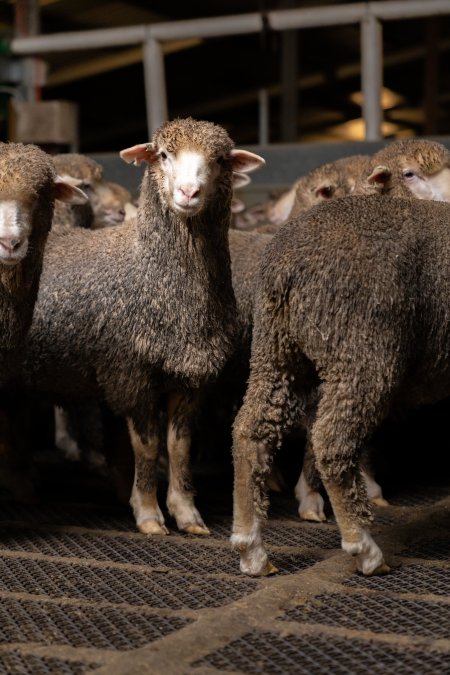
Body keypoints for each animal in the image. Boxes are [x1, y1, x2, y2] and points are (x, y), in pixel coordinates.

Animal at [18, 119, 264, 536]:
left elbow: (179, 447)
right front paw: (148, 513)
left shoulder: (192, 377)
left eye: (219, 159)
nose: (188, 192)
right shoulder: (130, 375)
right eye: (163, 155)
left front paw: (187, 513)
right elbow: (147, 448)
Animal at [232, 191, 450, 580]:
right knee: (332, 442)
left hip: (276, 349)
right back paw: (365, 548)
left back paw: (251, 549)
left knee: (250, 432)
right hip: (363, 350)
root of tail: (285, 263)